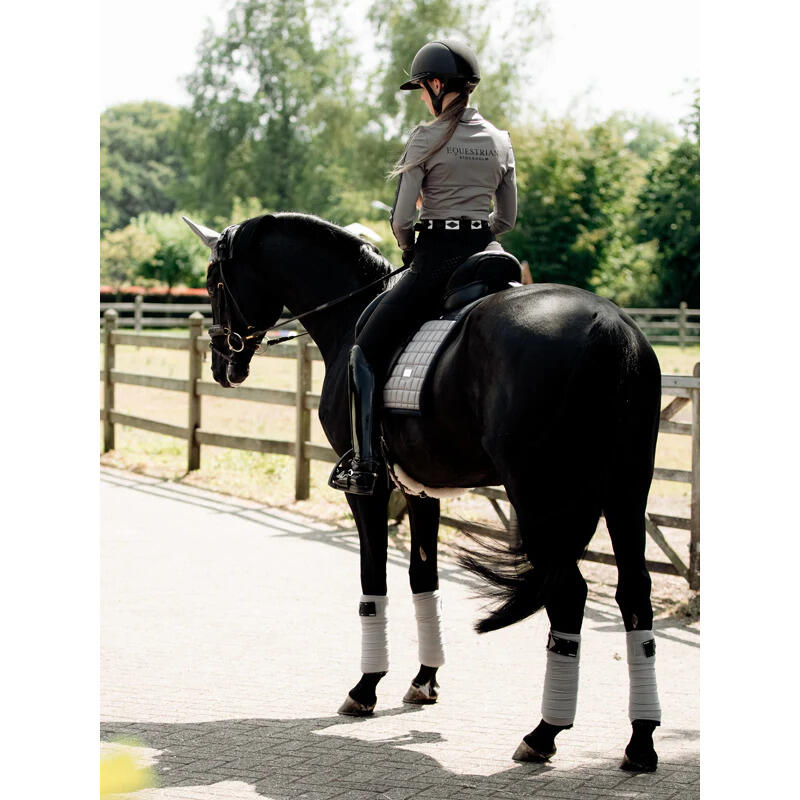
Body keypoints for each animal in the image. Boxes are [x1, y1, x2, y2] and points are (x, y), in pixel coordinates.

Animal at [184, 211, 664, 772]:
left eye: (213, 281)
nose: (223, 364)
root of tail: (609, 327)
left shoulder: (367, 491)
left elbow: (373, 579)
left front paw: (366, 688)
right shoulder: (421, 489)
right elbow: (422, 577)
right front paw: (424, 680)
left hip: (540, 493)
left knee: (568, 595)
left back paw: (544, 734)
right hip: (626, 490)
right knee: (634, 595)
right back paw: (641, 740)